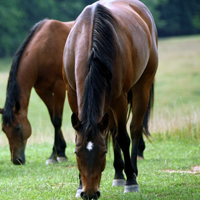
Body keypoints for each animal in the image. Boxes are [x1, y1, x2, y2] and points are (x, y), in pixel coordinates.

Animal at [0, 19, 73, 165]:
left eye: (18, 127)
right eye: (4, 130)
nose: (17, 160)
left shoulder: (59, 88)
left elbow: (57, 120)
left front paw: (55, 156)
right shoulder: (42, 91)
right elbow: (52, 118)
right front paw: (60, 151)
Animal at [63, 0, 158, 198]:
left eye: (103, 152)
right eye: (76, 152)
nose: (90, 194)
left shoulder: (120, 100)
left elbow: (123, 138)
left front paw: (131, 181)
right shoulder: (72, 95)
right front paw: (79, 185)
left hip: (142, 86)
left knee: (134, 129)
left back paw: (132, 172)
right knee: (113, 130)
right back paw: (118, 174)